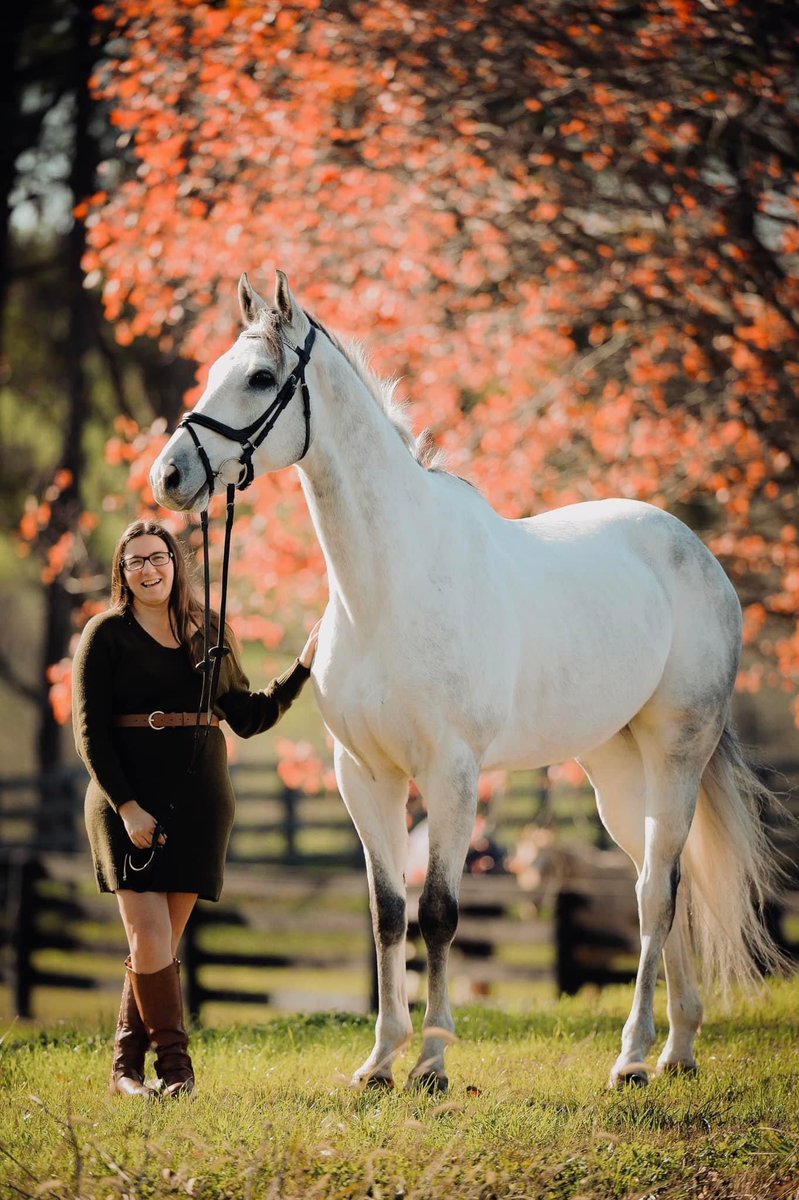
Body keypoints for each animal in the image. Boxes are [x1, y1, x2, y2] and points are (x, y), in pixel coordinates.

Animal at [150, 270, 783, 1091]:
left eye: (259, 377)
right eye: (213, 371)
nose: (170, 475)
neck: (389, 584)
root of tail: (696, 553)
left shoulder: (452, 774)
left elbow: (442, 913)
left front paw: (431, 1064)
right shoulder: (365, 774)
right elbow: (388, 912)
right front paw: (379, 1062)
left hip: (678, 750)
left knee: (652, 891)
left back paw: (631, 1055)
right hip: (617, 771)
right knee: (663, 881)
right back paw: (674, 1051)